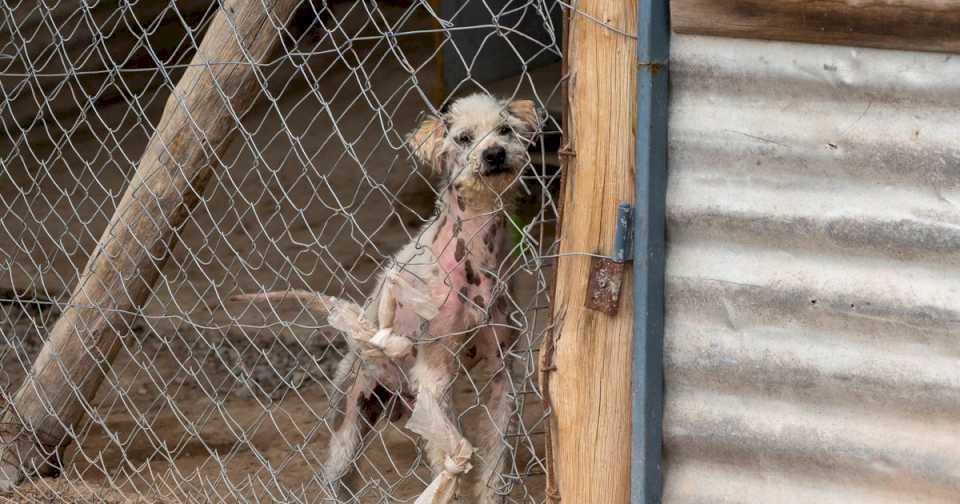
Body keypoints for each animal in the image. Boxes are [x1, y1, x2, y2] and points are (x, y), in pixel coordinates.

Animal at [237, 93, 544, 500]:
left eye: (505, 129)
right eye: (463, 138)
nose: (494, 154)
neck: (475, 254)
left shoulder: (502, 374)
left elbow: (493, 465)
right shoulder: (434, 374)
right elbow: (451, 461)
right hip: (349, 426)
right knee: (336, 478)